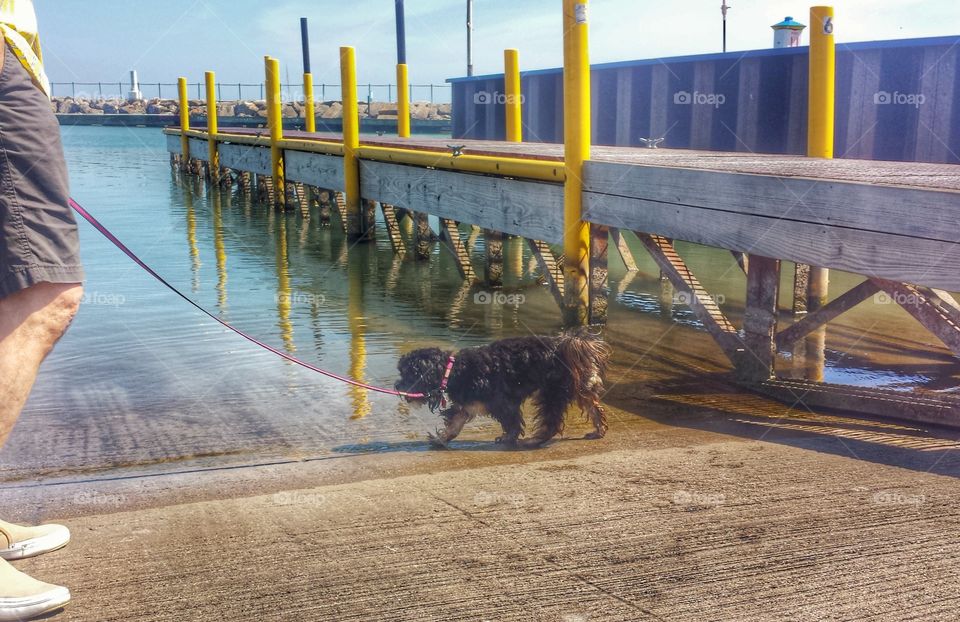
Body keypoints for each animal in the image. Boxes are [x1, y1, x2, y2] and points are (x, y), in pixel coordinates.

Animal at [396, 332, 608, 448]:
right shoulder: (467, 405)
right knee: (594, 408)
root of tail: (569, 344)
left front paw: (508, 438)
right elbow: (454, 424)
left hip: (551, 392)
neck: (455, 370)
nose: (397, 386)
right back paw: (598, 431)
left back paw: (533, 441)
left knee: (551, 422)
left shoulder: (502, 403)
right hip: (580, 387)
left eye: (409, 374)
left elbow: (512, 423)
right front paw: (441, 439)